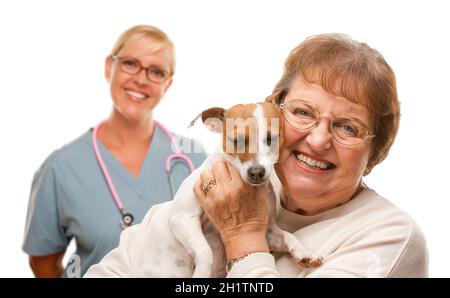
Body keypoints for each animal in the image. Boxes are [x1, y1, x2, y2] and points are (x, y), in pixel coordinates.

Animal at [132, 102, 322, 278]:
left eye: (270, 139)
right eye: (236, 141)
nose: (256, 172)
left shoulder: (268, 232)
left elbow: (288, 236)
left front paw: (304, 253)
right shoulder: (183, 219)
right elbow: (205, 251)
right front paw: (202, 274)